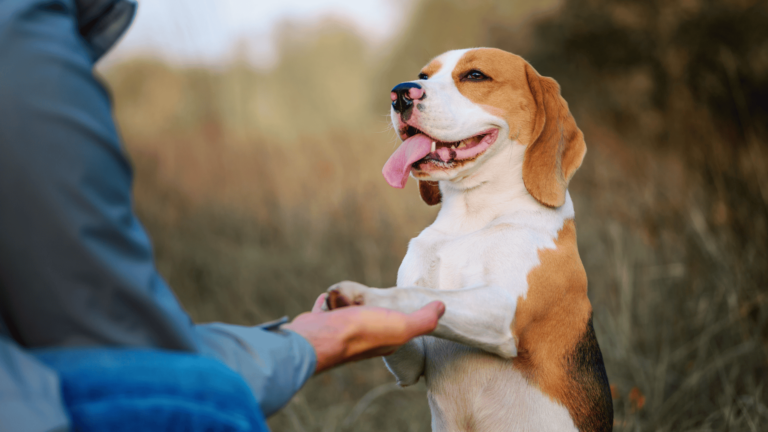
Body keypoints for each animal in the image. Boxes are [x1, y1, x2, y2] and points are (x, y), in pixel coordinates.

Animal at [324, 48, 612, 432]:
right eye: (424, 75)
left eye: (475, 76)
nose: (400, 94)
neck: (471, 216)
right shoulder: (413, 363)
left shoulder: (501, 310)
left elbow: (419, 294)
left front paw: (362, 296)